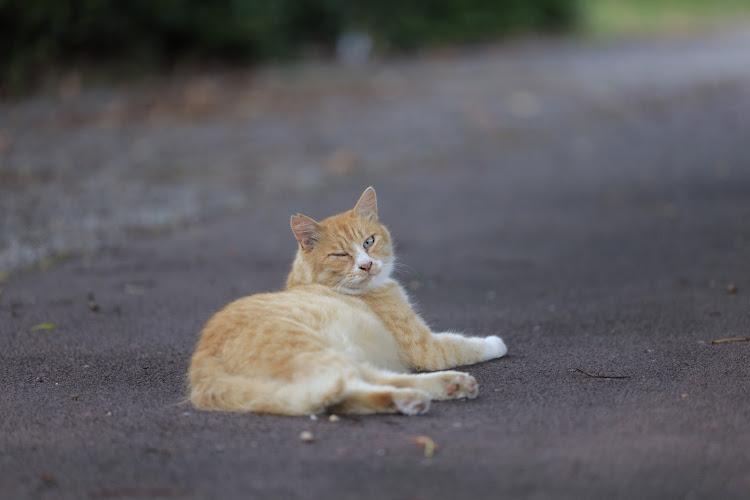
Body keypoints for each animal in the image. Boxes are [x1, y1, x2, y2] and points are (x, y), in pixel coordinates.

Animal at [188, 187, 512, 414]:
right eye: (341, 254)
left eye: (369, 242)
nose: (366, 265)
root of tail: (203, 363)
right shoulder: (425, 347)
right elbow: (462, 345)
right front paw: (495, 343)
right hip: (322, 352)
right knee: (352, 385)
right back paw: (429, 391)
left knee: (359, 389)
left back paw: (433, 391)